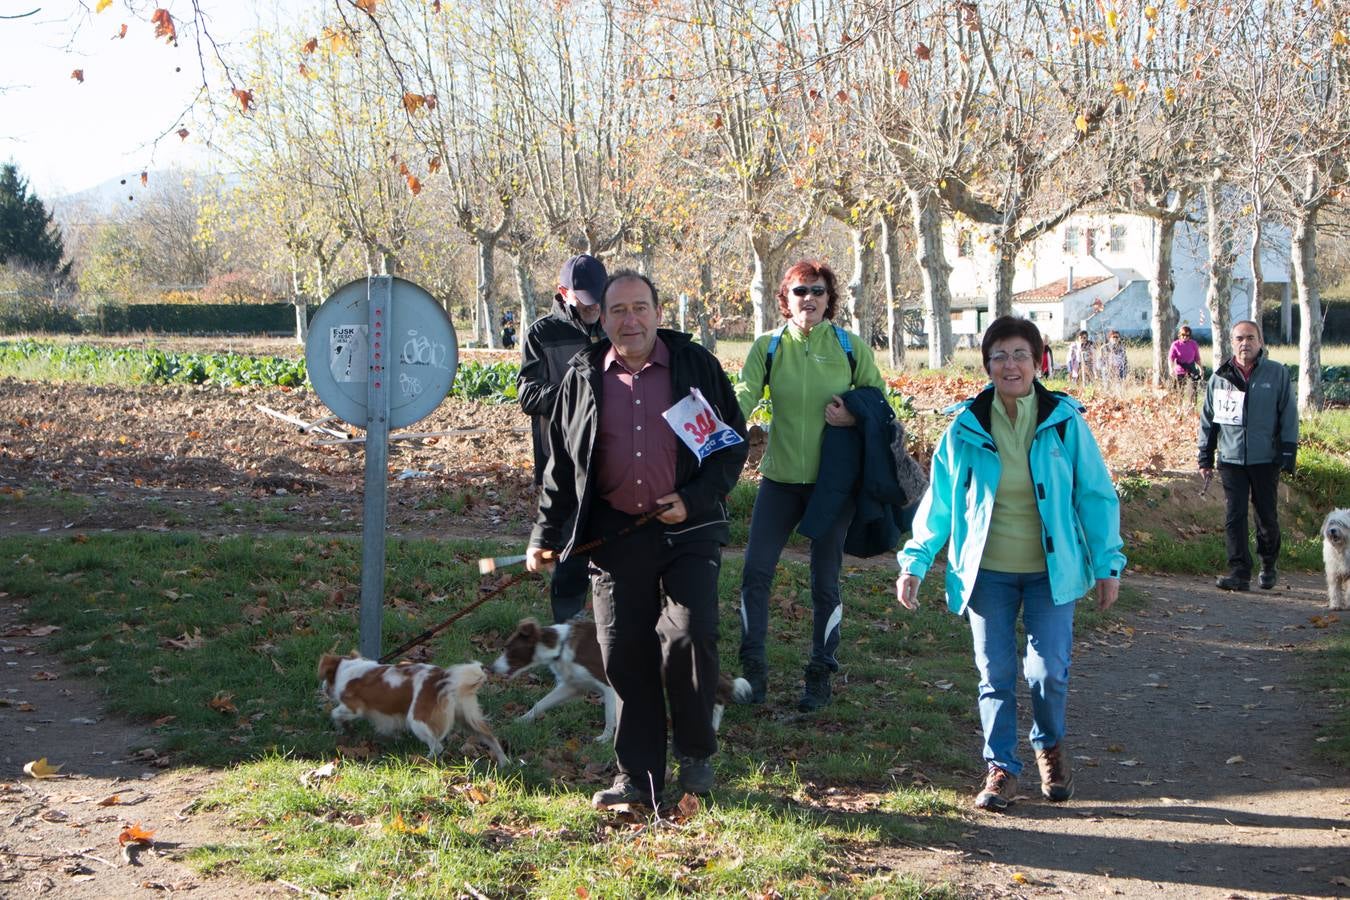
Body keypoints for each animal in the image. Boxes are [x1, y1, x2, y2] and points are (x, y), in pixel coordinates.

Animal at [318, 655, 507, 766]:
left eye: (326, 677)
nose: (322, 687)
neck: (346, 669)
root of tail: (443, 677)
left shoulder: (353, 707)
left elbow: (335, 713)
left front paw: (341, 728)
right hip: (467, 718)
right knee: (490, 738)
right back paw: (504, 762)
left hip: (417, 720)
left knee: (437, 746)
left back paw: (424, 761)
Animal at [491, 620, 756, 744]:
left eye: (510, 650)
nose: (491, 668)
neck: (560, 645)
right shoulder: (571, 685)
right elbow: (540, 704)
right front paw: (521, 720)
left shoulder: (607, 685)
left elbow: (610, 717)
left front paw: (604, 739)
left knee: (718, 696)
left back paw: (712, 726)